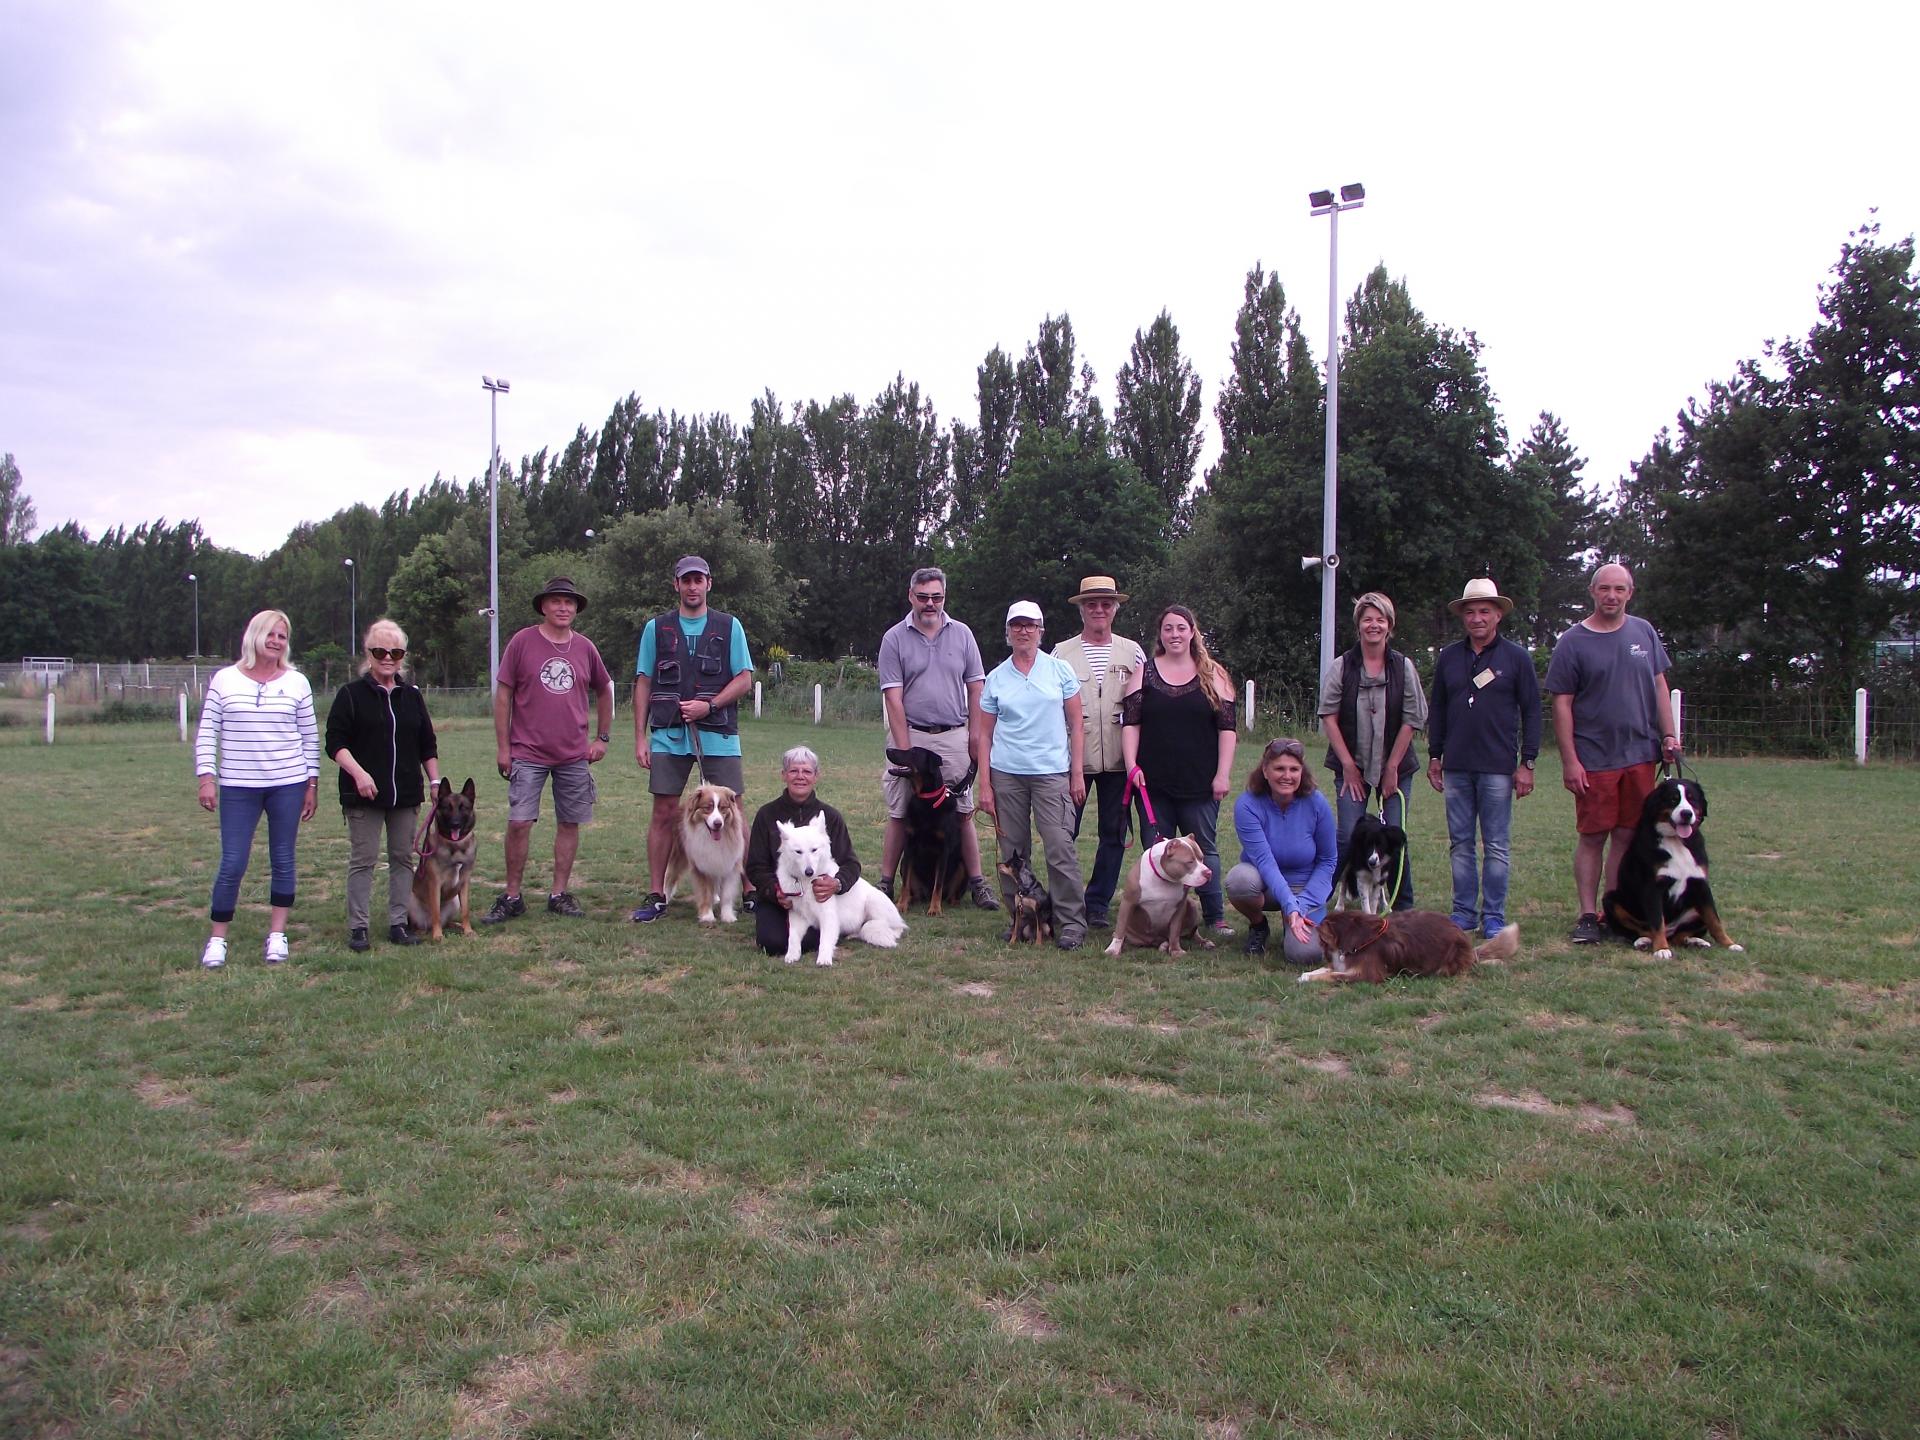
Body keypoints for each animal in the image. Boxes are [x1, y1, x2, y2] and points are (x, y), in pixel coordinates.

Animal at [405, 783, 476, 940]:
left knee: (446, 922)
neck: (455, 846)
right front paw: (437, 936)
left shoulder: (464, 883)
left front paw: (468, 931)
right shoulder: (435, 884)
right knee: (419, 924)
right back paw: (421, 931)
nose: (455, 824)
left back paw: (455, 925)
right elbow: (436, 911)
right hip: (410, 899)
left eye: (463, 807)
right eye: (447, 807)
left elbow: (466, 911)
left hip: (455, 900)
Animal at [664, 791, 744, 925]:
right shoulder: (701, 867)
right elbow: (705, 892)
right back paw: (664, 898)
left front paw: (727, 916)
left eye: (723, 808)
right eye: (708, 808)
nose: (718, 823)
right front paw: (707, 916)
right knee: (670, 876)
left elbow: (727, 894)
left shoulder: (729, 864)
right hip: (678, 855)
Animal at [771, 814, 906, 971]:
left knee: (892, 928)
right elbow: (792, 938)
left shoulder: (828, 917)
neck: (806, 883)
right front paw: (792, 955)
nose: (809, 872)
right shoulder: (797, 915)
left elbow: (824, 940)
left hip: (873, 902)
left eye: (814, 850)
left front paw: (824, 959)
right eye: (798, 852)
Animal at [883, 748, 975, 917]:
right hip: (905, 865)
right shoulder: (910, 846)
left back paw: (953, 902)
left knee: (949, 894)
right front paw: (901, 905)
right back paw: (909, 899)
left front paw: (935, 908)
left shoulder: (943, 850)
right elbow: (905, 885)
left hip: (963, 866)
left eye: (913, 752)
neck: (926, 799)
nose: (888, 749)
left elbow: (938, 885)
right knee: (913, 890)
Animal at [1297, 917, 1520, 990]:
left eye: (1322, 936)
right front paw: (1306, 975)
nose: (1314, 924)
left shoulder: (1368, 974)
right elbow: (1326, 969)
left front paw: (1309, 978)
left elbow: (1334, 975)